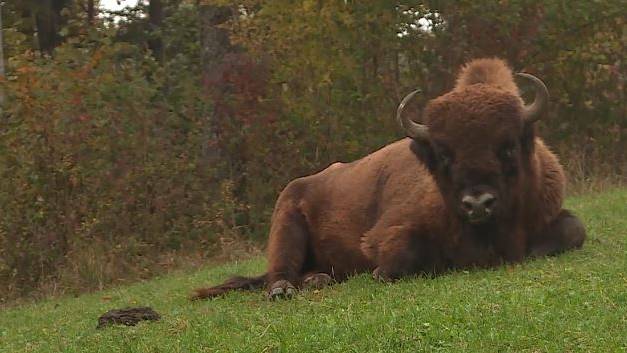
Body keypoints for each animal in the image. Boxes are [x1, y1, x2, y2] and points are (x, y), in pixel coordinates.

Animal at [193, 58, 588, 300]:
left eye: (507, 147)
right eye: (444, 154)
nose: (478, 203)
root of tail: (299, 185)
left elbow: (574, 230)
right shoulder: (386, 234)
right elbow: (398, 255)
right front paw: (386, 272)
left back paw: (320, 279)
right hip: (286, 223)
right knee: (280, 269)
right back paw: (285, 290)